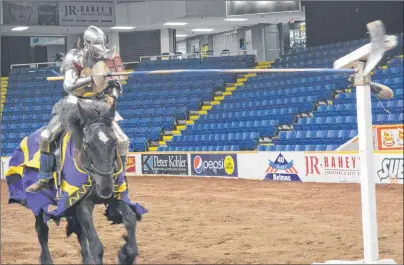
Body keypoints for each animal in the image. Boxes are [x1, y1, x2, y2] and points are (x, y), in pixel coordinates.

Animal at [5, 98, 147, 262]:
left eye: (114, 142)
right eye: (88, 144)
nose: (105, 188)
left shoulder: (115, 197)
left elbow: (130, 219)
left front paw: (125, 254)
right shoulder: (82, 204)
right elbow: (96, 245)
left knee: (79, 233)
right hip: (38, 204)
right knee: (42, 232)